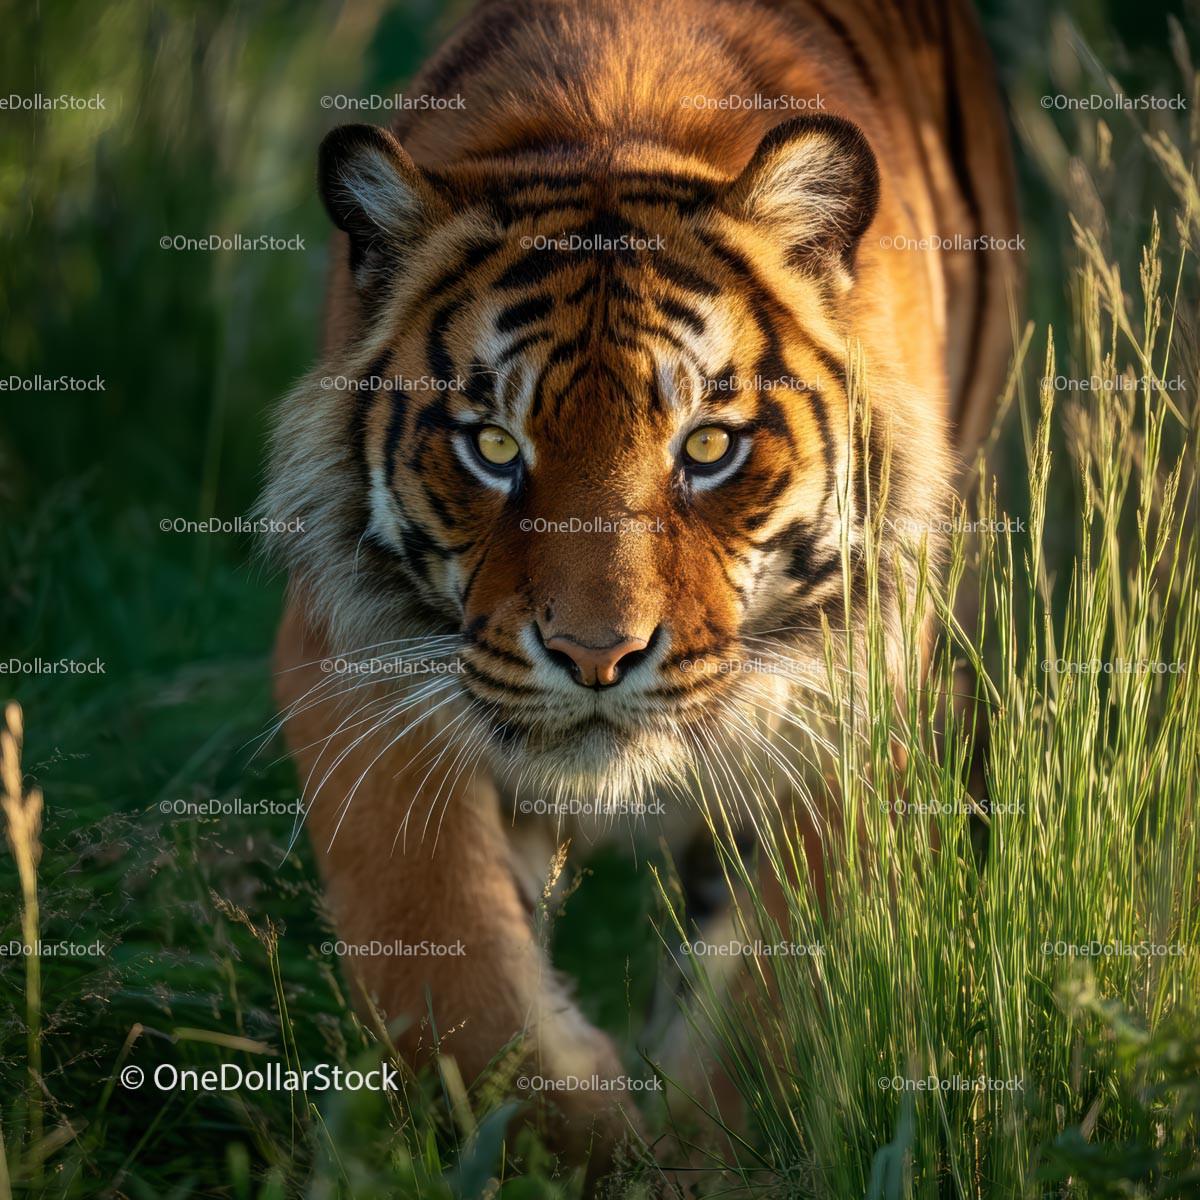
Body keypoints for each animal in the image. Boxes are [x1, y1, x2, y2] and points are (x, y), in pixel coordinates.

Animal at [264, 0, 1019, 1174]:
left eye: (706, 446)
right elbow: (442, 947)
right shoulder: (352, 660)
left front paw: (721, 1149)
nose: (595, 657)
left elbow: (789, 982)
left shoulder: (861, 696)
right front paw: (571, 1137)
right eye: (493, 446)